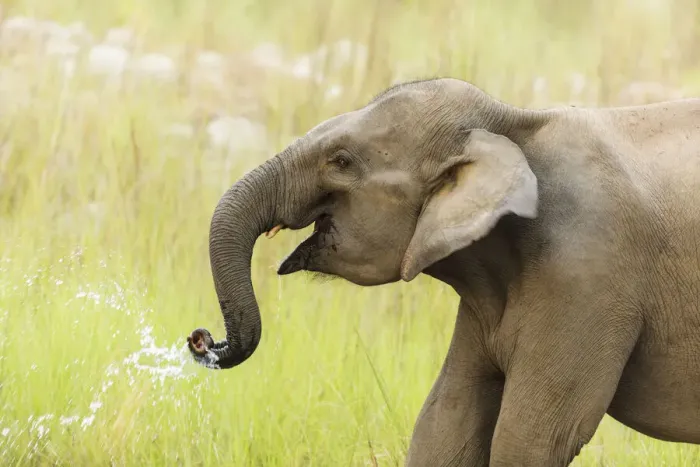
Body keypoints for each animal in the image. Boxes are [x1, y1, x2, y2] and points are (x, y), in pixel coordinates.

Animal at [186, 77, 700, 466]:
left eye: (341, 161)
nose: (202, 340)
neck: (512, 125)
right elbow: (445, 422)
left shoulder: (586, 275)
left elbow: (532, 437)